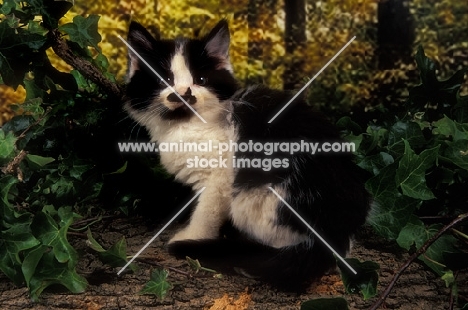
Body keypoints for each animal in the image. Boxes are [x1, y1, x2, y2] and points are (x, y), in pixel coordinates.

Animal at [123, 18, 370, 286]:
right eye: (164, 80)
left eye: (201, 79)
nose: (184, 93)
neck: (187, 126)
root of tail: (335, 234)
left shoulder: (220, 177)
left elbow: (205, 212)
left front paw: (193, 235)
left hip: (256, 195)